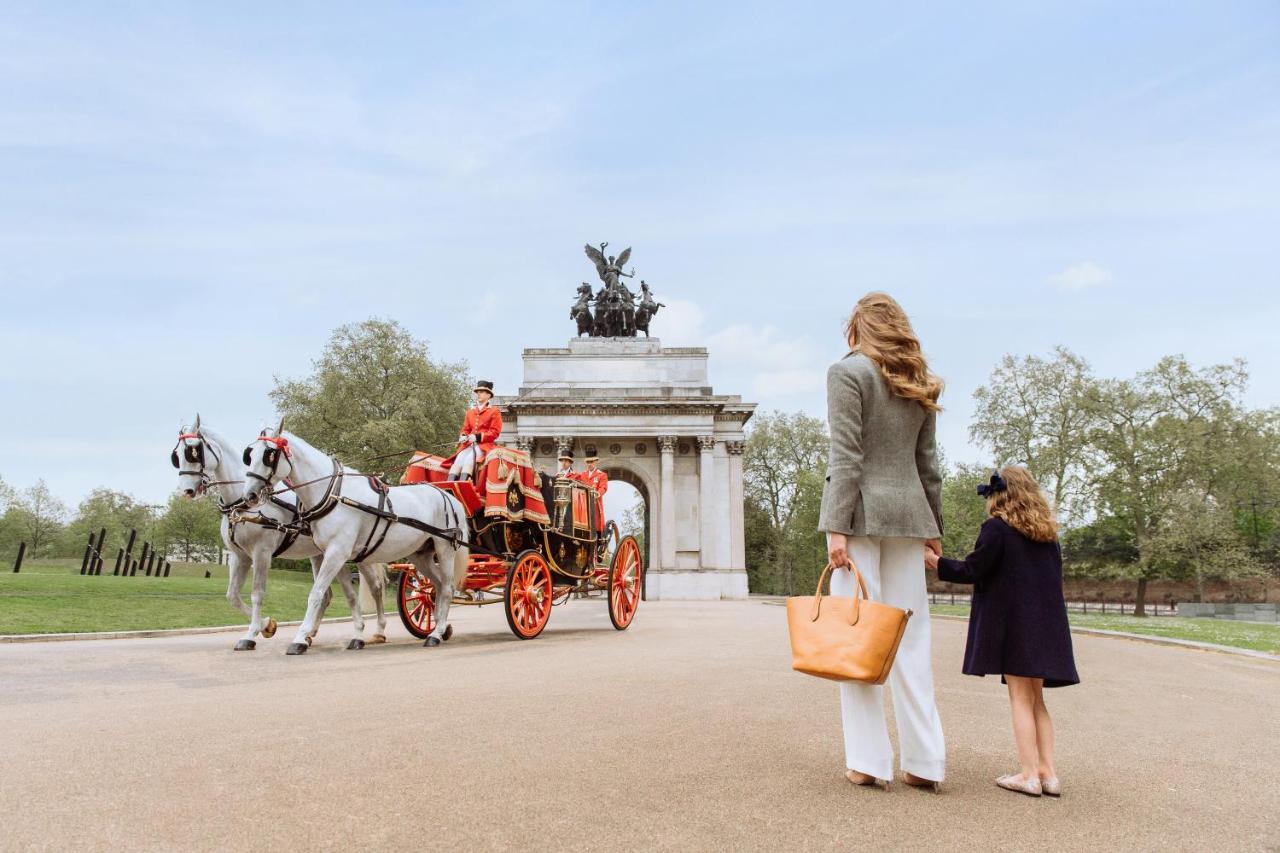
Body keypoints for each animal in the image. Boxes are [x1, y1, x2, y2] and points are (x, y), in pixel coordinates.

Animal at [172, 414, 350, 648]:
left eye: (193, 451)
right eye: (176, 456)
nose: (187, 490)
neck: (240, 503)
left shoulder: (261, 553)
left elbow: (257, 593)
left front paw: (252, 634)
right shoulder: (239, 556)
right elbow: (232, 595)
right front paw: (266, 625)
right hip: (319, 555)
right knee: (327, 595)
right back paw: (309, 633)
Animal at [240, 420, 471, 650]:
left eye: (269, 455)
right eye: (250, 455)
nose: (249, 495)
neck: (333, 494)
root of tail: (448, 496)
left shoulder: (336, 552)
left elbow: (316, 593)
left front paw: (300, 638)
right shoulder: (335, 554)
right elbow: (350, 596)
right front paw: (358, 635)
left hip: (444, 548)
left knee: (448, 588)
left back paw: (436, 634)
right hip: (420, 554)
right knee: (437, 587)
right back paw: (439, 627)